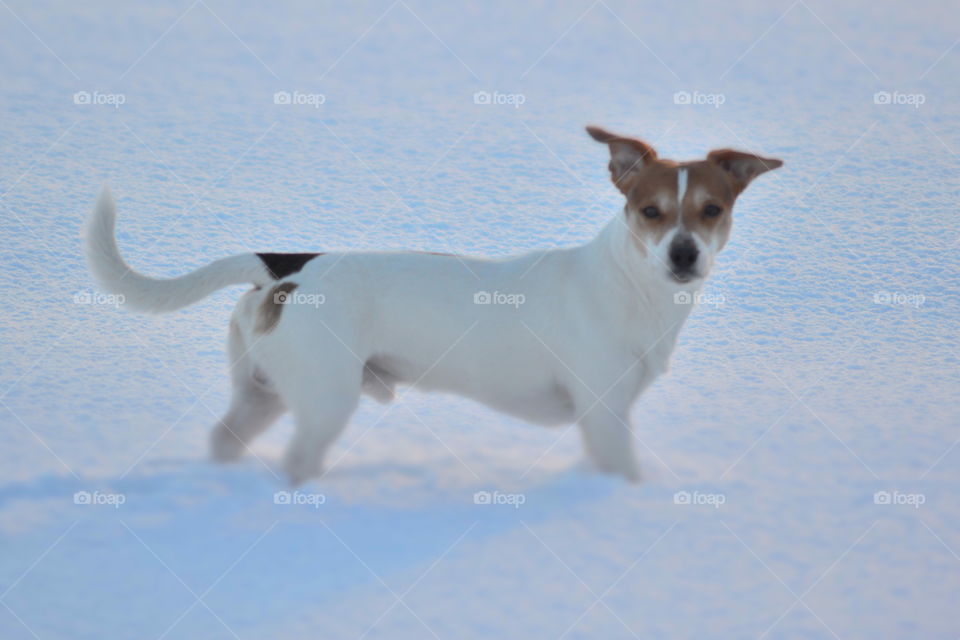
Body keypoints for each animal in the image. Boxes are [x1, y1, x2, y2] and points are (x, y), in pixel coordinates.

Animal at [84, 127, 780, 482]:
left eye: (712, 209)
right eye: (650, 211)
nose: (684, 256)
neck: (630, 285)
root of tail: (288, 264)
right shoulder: (605, 414)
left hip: (262, 393)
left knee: (226, 438)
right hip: (325, 397)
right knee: (298, 459)